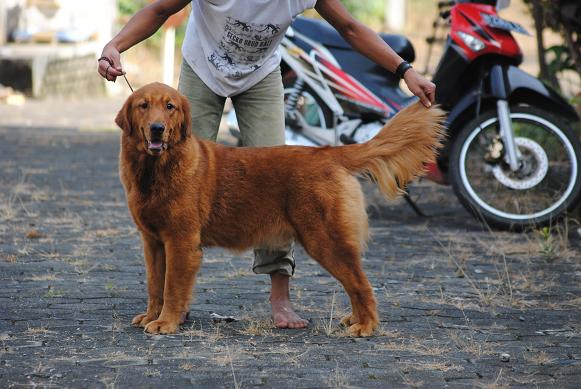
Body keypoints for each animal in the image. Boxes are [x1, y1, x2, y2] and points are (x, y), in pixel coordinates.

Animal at [116, 82, 444, 336]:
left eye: (170, 107)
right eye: (143, 106)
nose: (157, 129)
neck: (155, 171)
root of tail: (328, 153)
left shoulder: (181, 242)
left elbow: (172, 288)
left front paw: (166, 323)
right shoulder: (153, 242)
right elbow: (155, 285)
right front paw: (152, 316)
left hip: (326, 240)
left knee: (361, 285)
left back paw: (365, 326)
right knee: (355, 285)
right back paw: (355, 319)